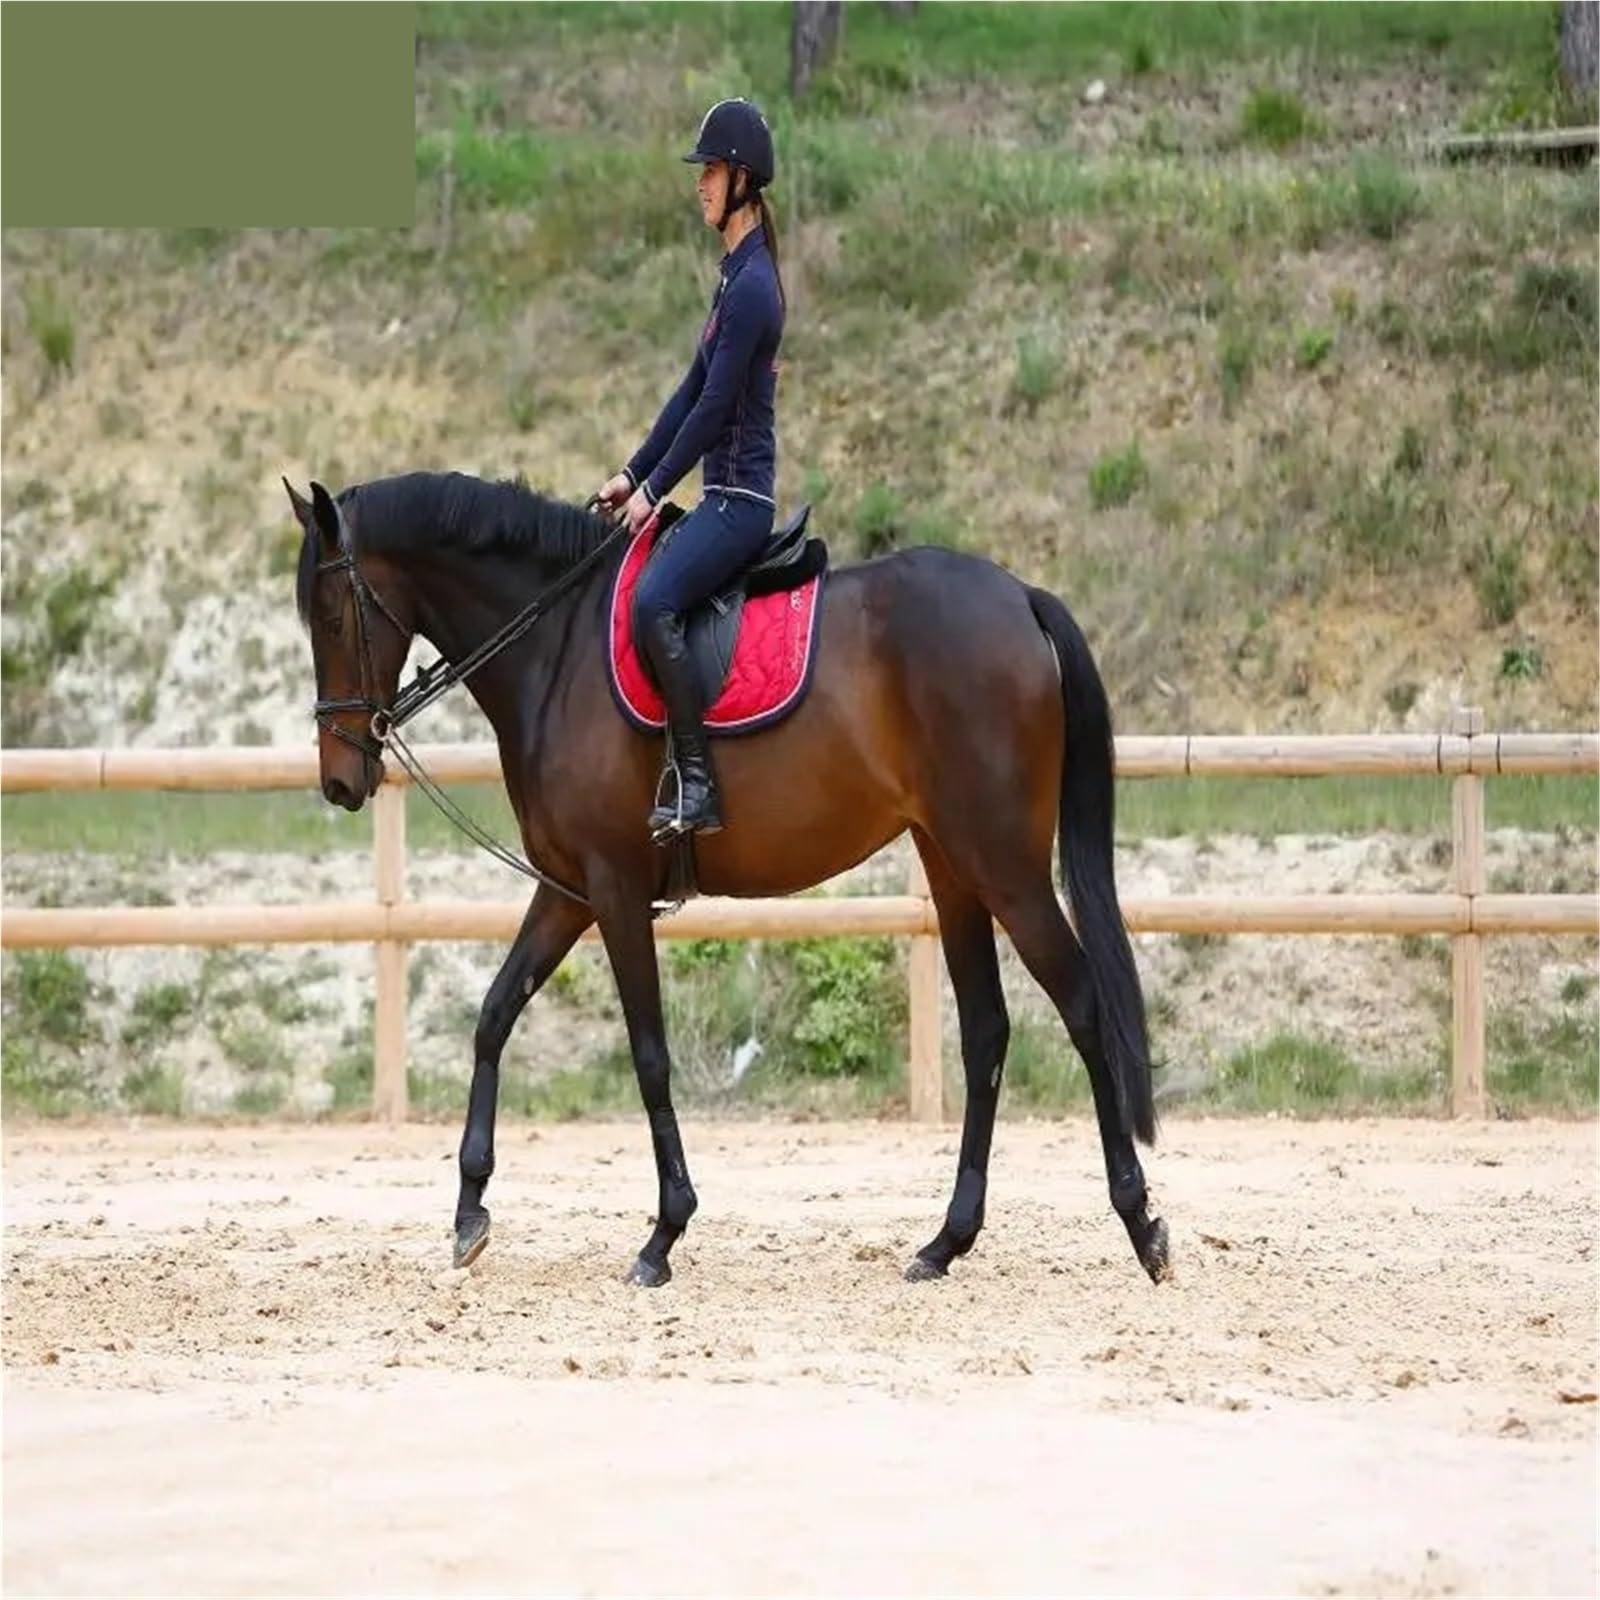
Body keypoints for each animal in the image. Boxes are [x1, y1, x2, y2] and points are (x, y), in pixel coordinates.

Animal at [285, 469, 1169, 1289]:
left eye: (330, 616)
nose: (339, 781)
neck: (554, 647)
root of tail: (1021, 597)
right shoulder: (566, 888)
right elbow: (494, 1016)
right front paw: (470, 1212)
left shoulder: (614, 888)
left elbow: (649, 1054)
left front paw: (663, 1235)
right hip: (951, 864)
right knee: (987, 1029)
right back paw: (946, 1242)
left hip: (1003, 864)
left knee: (1082, 1004)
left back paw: (1141, 1223)